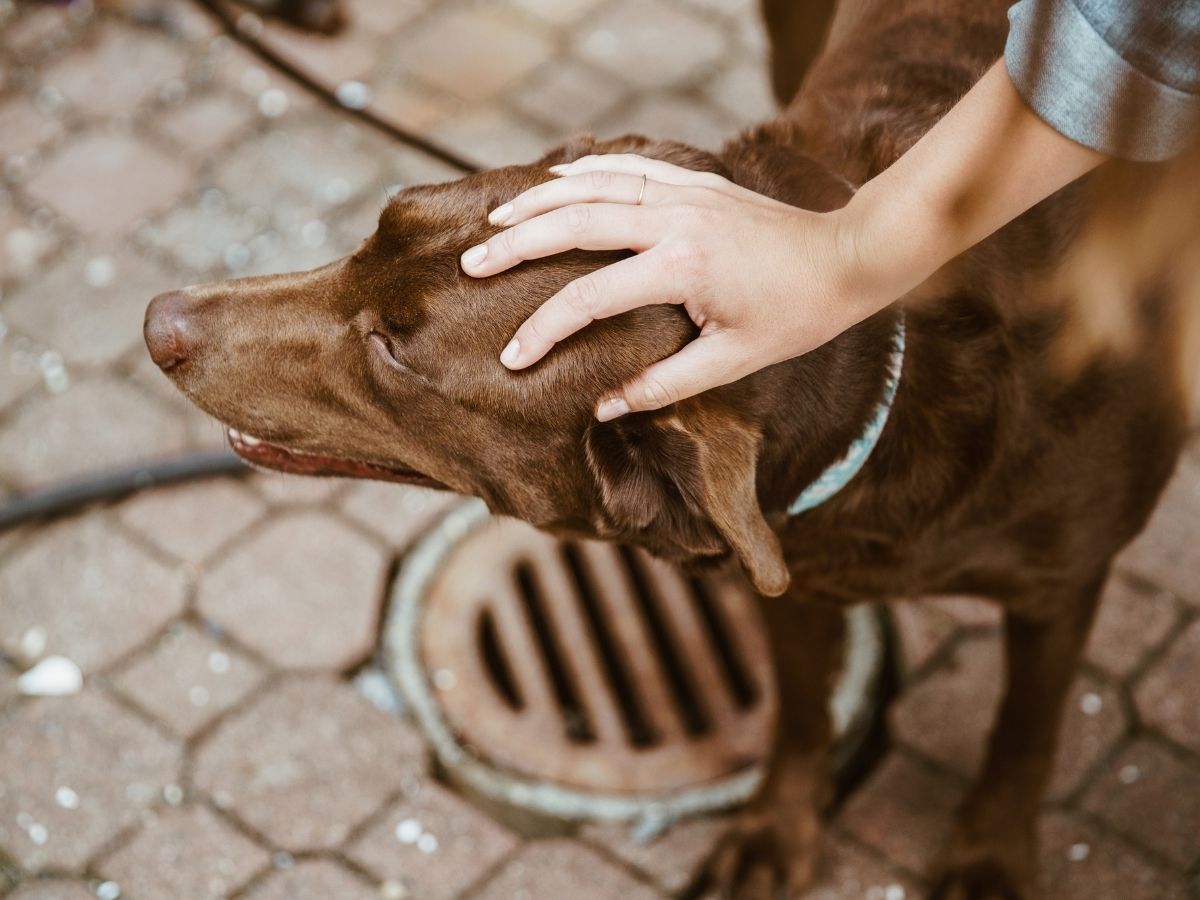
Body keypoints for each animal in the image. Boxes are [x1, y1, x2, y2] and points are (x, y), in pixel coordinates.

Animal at [140, 3, 1190, 897]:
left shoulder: (1062, 581)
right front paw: (775, 830)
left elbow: (1025, 731)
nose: (157, 323)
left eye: (394, 352)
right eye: (378, 225)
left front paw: (987, 858)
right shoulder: (795, 568)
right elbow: (799, 713)